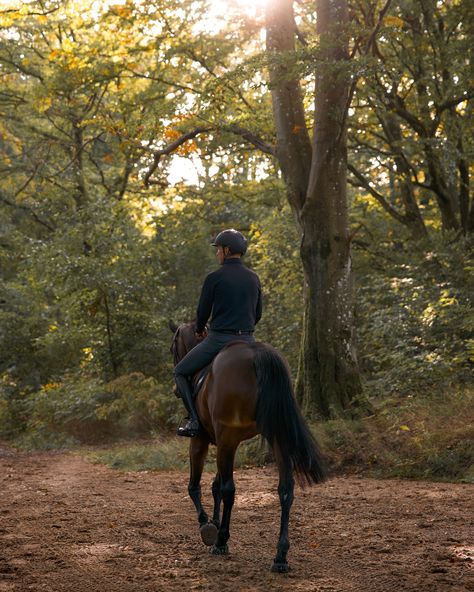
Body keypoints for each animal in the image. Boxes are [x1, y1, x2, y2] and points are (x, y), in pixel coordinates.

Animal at [169, 322, 326, 572]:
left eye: (172, 348)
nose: (176, 390)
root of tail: (258, 354)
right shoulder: (225, 443)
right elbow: (215, 486)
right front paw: (214, 522)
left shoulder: (202, 440)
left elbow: (196, 486)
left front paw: (207, 526)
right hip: (276, 437)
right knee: (285, 489)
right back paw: (280, 556)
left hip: (228, 438)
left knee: (229, 489)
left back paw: (221, 541)